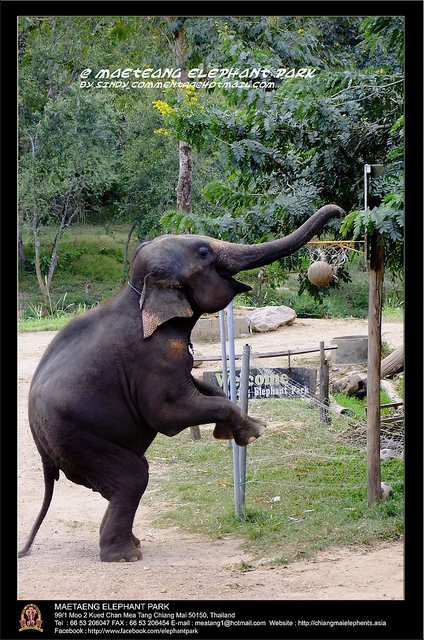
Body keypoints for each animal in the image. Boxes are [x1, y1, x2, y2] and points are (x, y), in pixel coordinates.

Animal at [19, 204, 344, 562]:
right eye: (203, 252)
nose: (342, 211)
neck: (139, 292)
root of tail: (44, 456)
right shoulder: (152, 356)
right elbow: (168, 414)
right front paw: (254, 432)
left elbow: (202, 387)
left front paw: (236, 427)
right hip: (78, 438)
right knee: (133, 477)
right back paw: (125, 556)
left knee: (115, 486)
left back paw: (133, 545)